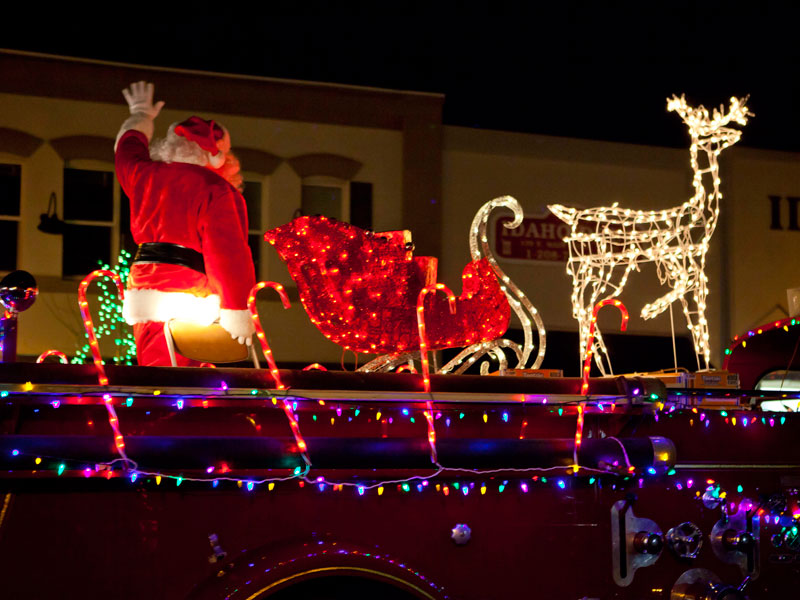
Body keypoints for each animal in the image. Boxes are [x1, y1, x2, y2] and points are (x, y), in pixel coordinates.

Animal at [552, 96, 752, 372]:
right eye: (706, 132)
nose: (734, 135)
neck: (699, 216)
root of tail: (571, 216)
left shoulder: (690, 263)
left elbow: (697, 318)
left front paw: (705, 368)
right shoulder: (682, 257)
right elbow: (687, 295)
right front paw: (650, 310)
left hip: (588, 269)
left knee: (581, 307)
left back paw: (597, 366)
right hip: (605, 268)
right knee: (586, 306)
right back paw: (601, 367)